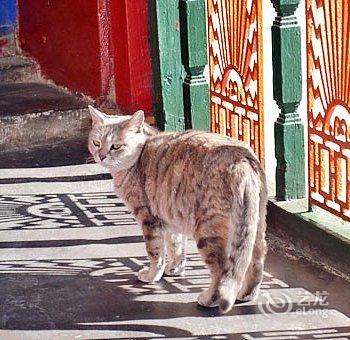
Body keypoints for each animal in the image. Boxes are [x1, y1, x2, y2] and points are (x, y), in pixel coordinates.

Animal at [88, 106, 268, 314]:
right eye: (96, 142)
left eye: (116, 146)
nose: (101, 156)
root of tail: (241, 163)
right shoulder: (170, 218)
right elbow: (176, 247)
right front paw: (174, 268)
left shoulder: (149, 219)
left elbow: (155, 253)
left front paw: (152, 275)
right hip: (254, 228)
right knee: (256, 262)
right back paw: (246, 294)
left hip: (207, 232)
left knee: (221, 272)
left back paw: (208, 299)